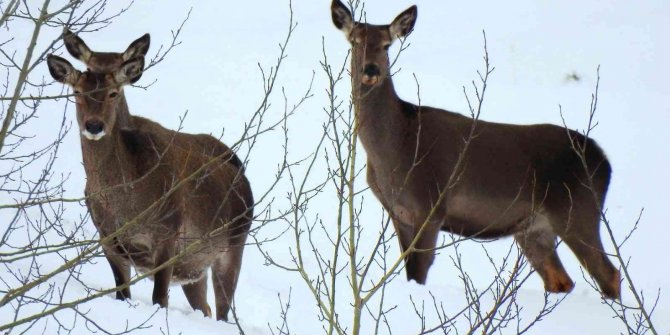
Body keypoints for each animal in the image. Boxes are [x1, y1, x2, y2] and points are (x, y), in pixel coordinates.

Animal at [45, 30, 255, 320]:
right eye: (77, 92)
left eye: (113, 92)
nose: (94, 125)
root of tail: (243, 176)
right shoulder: (107, 238)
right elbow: (122, 294)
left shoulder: (167, 234)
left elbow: (159, 299)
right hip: (193, 267)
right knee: (205, 307)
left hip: (234, 244)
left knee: (223, 312)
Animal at [334, 0, 624, 300]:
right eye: (355, 41)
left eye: (387, 45)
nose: (370, 70)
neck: (395, 150)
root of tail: (604, 161)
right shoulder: (398, 212)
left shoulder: (431, 205)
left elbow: (419, 273)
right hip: (535, 228)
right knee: (561, 280)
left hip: (577, 210)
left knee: (609, 274)